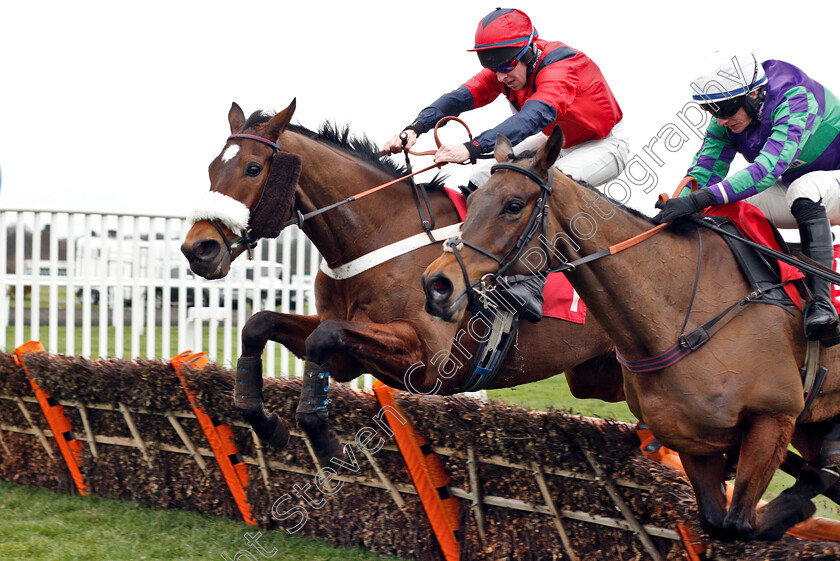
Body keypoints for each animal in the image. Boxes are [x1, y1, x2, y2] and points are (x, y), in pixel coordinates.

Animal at [180, 100, 628, 464]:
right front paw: (266, 422)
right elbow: (260, 325)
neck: (375, 236)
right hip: (598, 376)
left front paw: (326, 443)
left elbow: (324, 336)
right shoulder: (346, 358)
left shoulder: (430, 360)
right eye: (211, 168)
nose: (197, 249)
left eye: (253, 168)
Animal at [420, 126, 840, 540]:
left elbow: (741, 525)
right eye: (472, 202)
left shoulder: (774, 418)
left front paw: (798, 503)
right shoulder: (692, 439)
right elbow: (716, 523)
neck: (679, 309)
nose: (436, 284)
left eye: (513, 205)